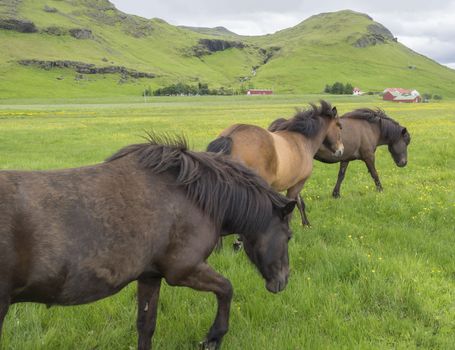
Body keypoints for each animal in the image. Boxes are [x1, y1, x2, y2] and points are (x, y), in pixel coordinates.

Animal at [0, 135, 298, 350]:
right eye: (289, 236)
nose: (282, 281)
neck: (192, 196)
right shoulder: (184, 270)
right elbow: (226, 289)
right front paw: (214, 337)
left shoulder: (150, 276)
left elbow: (146, 325)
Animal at [212, 100, 344, 227]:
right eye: (339, 126)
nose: (341, 150)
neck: (303, 140)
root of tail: (230, 136)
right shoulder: (297, 184)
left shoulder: (294, 183)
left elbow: (299, 203)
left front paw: (306, 224)